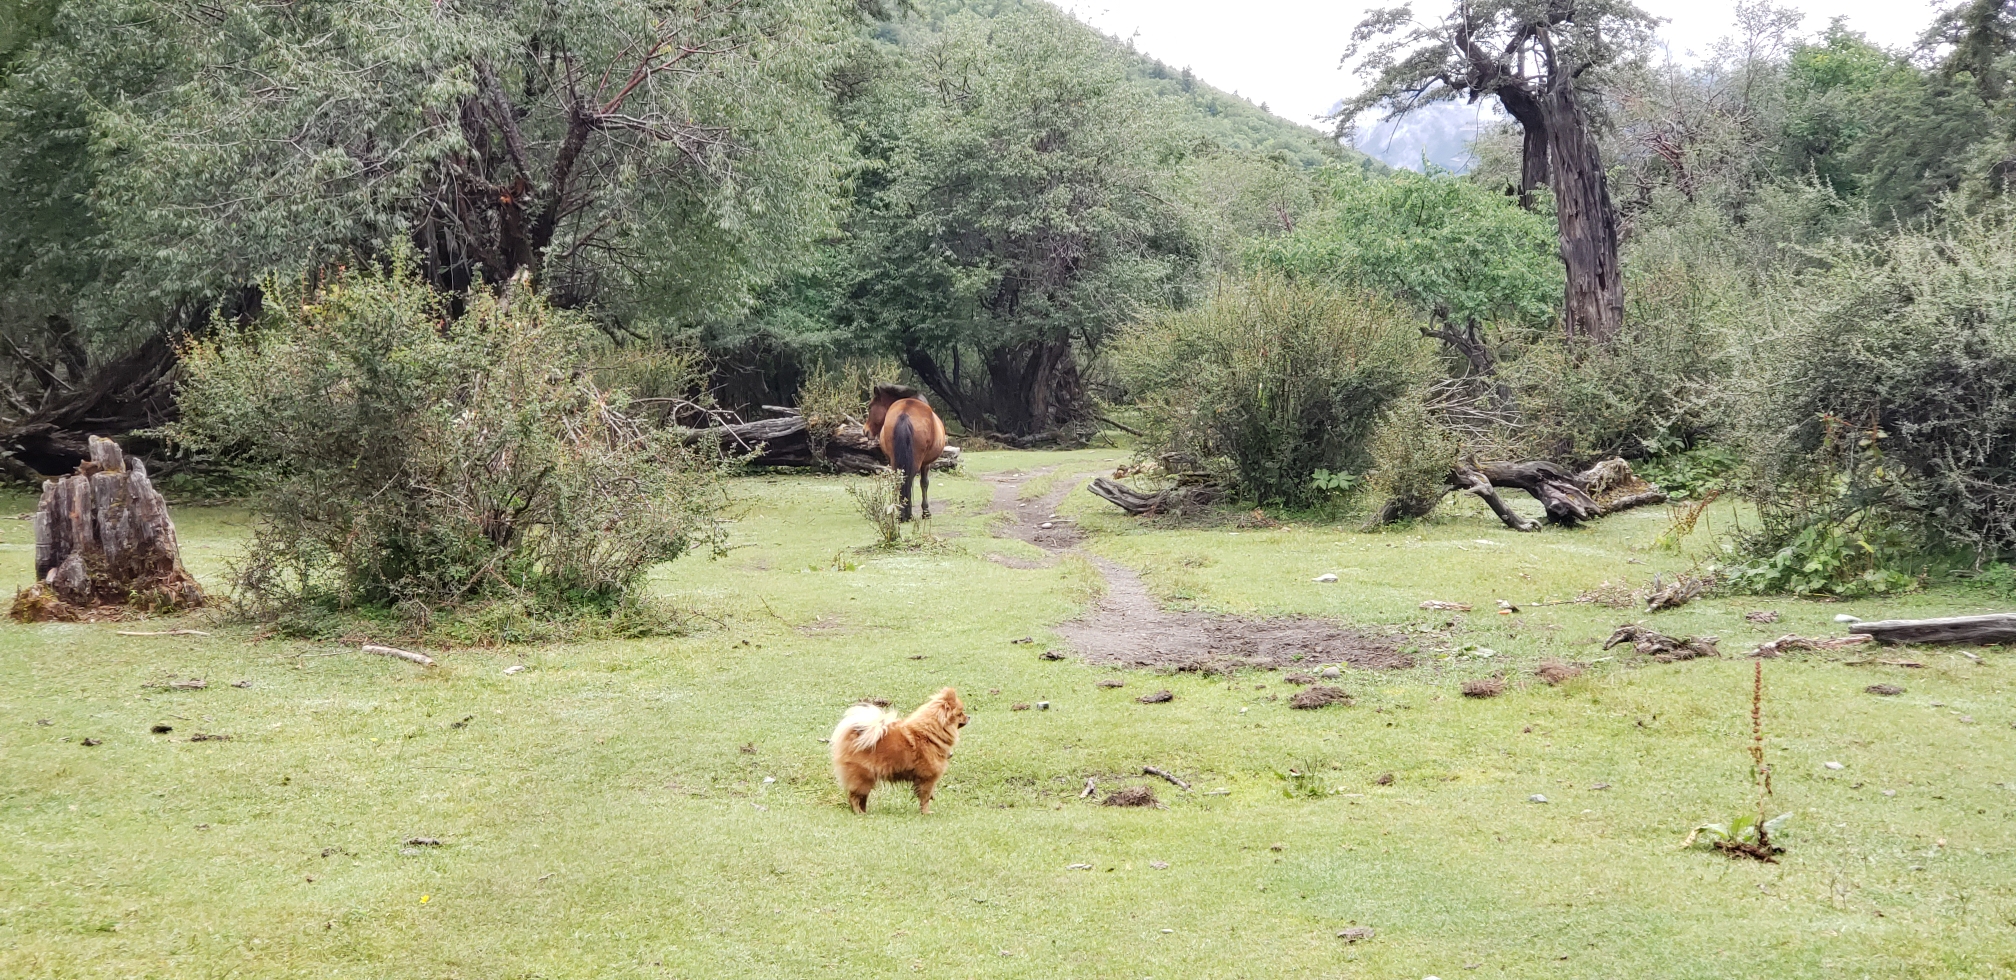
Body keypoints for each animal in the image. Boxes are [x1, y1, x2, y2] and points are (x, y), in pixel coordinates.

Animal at [826, 685, 967, 814]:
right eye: (961, 714)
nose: (969, 717)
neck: (929, 734)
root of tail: (854, 734)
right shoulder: (927, 778)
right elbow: (925, 798)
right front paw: (926, 813)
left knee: (861, 798)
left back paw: (864, 812)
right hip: (863, 777)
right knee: (854, 797)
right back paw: (858, 813)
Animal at [866, 383, 943, 520]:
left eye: (870, 407)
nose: (865, 431)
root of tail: (905, 414)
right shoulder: (926, 464)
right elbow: (924, 483)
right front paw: (926, 511)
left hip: (895, 460)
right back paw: (907, 512)